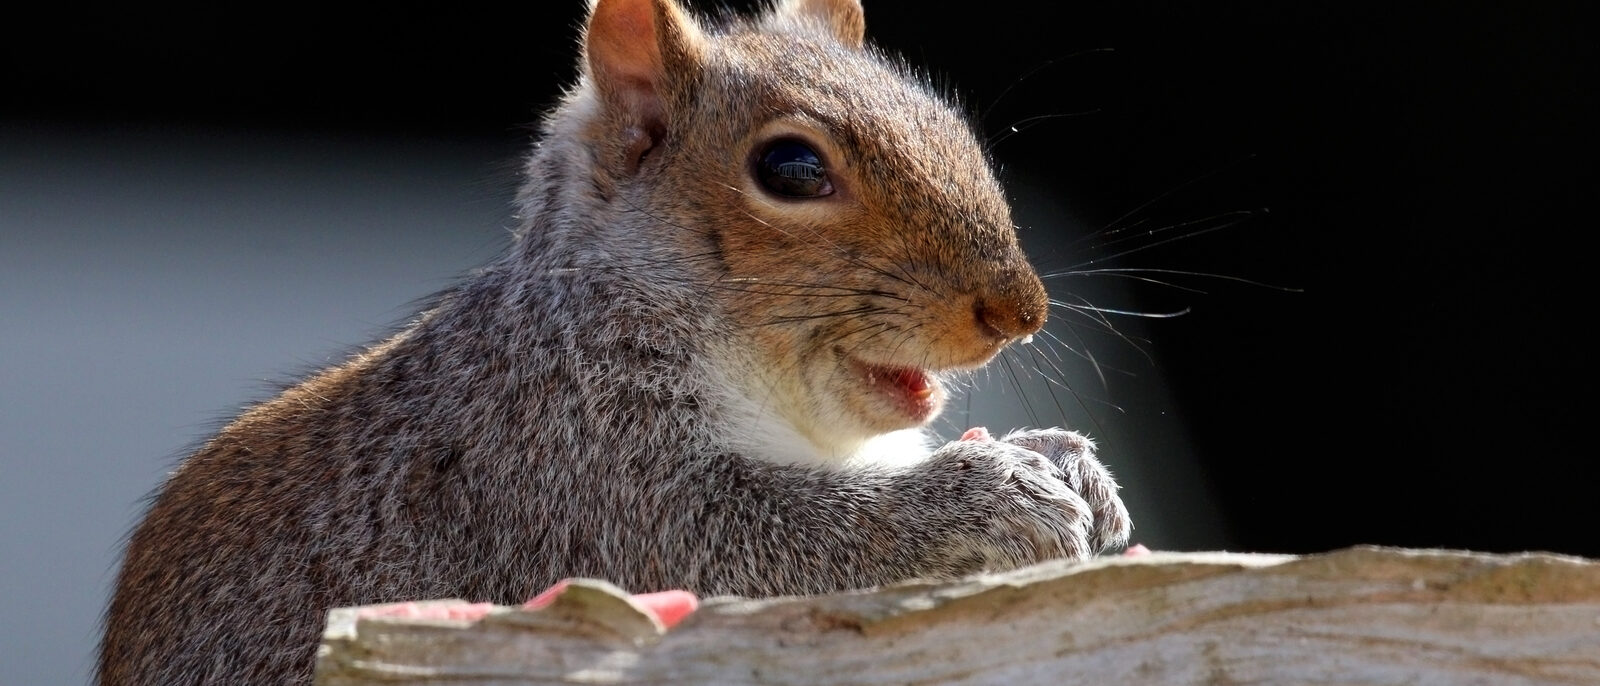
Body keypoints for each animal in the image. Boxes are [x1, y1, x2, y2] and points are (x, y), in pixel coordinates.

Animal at [98, 0, 1132, 683]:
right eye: (792, 168)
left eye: (951, 124)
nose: (1019, 311)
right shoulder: (568, 467)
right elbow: (741, 540)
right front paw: (989, 492)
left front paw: (1064, 458)